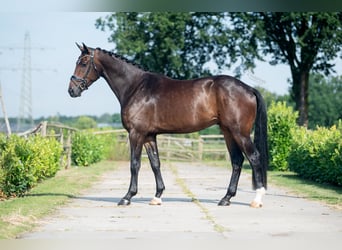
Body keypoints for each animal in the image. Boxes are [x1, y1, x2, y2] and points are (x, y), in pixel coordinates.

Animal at [68, 43, 268, 207]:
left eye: (83, 63)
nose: (72, 90)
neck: (136, 87)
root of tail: (249, 89)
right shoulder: (149, 136)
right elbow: (155, 163)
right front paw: (157, 196)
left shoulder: (136, 133)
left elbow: (134, 164)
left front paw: (127, 197)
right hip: (227, 132)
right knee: (237, 161)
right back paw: (226, 198)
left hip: (239, 132)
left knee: (254, 158)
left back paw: (257, 199)